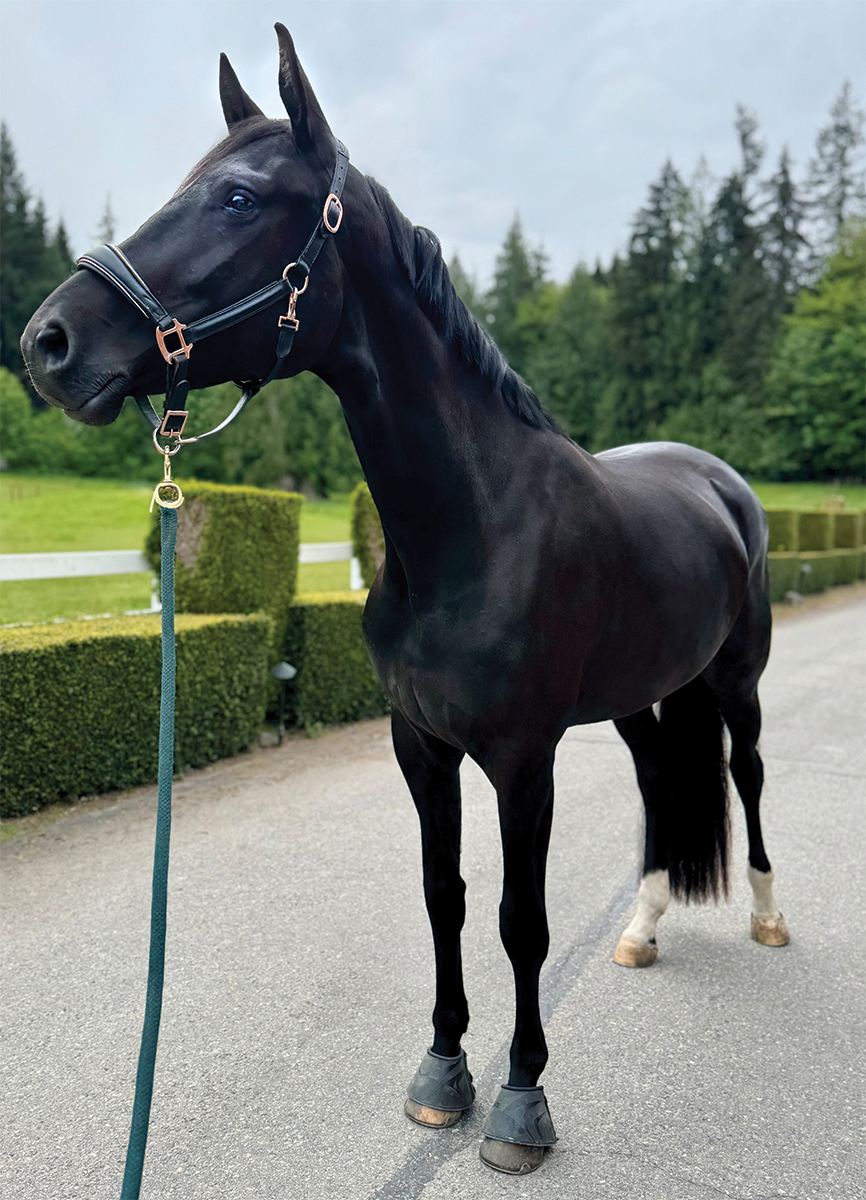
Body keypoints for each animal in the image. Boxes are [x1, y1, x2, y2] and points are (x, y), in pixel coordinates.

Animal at [21, 24, 789, 1176]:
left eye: (239, 197)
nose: (49, 343)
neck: (471, 530)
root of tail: (716, 481)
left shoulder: (521, 757)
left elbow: (520, 918)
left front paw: (520, 1100)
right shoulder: (419, 746)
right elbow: (444, 900)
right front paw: (441, 1074)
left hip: (735, 683)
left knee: (744, 775)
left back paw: (769, 917)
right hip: (636, 699)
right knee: (661, 782)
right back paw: (643, 926)